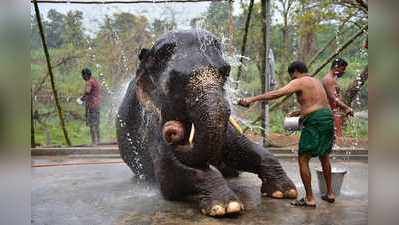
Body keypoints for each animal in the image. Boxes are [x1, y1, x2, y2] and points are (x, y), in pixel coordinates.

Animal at [115, 29, 296, 216]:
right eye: (176, 79)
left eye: (226, 72)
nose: (174, 132)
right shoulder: (151, 120)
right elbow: (168, 173)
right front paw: (226, 206)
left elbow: (243, 148)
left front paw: (285, 192)